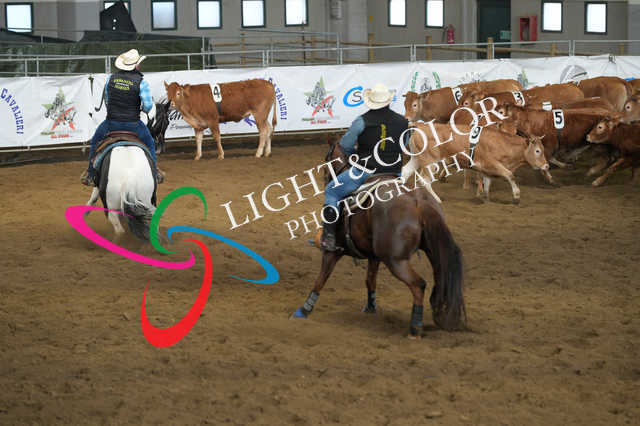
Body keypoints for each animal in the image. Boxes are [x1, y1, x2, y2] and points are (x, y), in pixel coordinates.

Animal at [291, 136, 466, 338]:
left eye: (326, 160)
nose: (325, 179)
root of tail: (418, 202)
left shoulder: (333, 252)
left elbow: (321, 279)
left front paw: (303, 310)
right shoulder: (374, 256)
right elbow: (370, 280)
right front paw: (370, 307)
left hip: (396, 260)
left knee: (418, 285)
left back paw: (415, 328)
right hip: (433, 252)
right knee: (440, 280)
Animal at [401, 122, 548, 204]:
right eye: (537, 151)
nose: (546, 166)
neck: (501, 143)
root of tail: (420, 126)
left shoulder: (487, 170)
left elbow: (488, 182)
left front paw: (486, 198)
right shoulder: (491, 163)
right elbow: (509, 175)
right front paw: (516, 196)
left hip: (416, 158)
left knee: (405, 172)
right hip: (430, 162)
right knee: (424, 180)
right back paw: (437, 200)